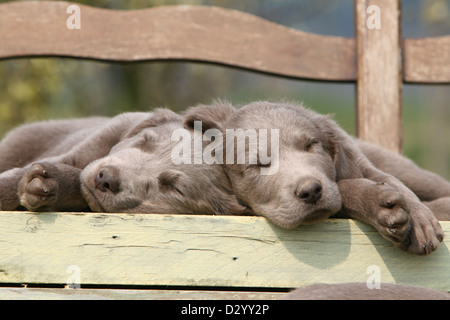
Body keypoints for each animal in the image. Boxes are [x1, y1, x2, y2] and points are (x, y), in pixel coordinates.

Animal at [183, 100, 446, 255]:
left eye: (311, 145)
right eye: (258, 164)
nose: (310, 191)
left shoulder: (360, 162)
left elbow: (390, 180)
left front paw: (419, 223)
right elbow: (346, 188)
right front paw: (379, 204)